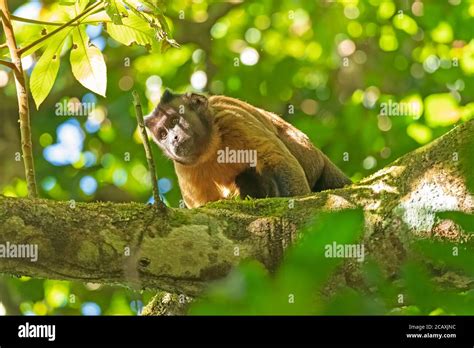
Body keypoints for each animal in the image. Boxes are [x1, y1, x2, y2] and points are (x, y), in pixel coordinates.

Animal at [145, 89, 352, 209]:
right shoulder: (183, 166)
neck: (211, 147)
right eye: (162, 134)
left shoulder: (231, 119)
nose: (173, 139)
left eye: (174, 121)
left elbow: (280, 161)